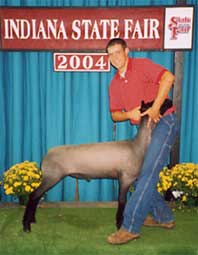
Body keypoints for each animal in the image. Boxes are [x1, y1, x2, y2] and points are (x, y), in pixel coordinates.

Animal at [22, 99, 172, 233]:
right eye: (154, 103)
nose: (169, 101)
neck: (137, 146)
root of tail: (45, 156)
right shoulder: (125, 178)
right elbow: (122, 201)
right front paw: (119, 224)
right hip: (52, 176)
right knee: (34, 195)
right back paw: (26, 226)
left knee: (37, 196)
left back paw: (32, 220)